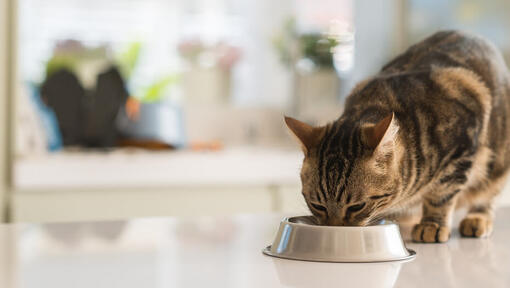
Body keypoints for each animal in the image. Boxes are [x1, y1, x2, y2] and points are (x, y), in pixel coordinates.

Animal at [284, 30, 510, 243]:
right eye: (317, 205)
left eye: (357, 206)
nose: (334, 229)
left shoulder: (461, 147)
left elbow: (441, 194)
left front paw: (432, 224)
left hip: (497, 165)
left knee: (486, 195)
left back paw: (477, 218)